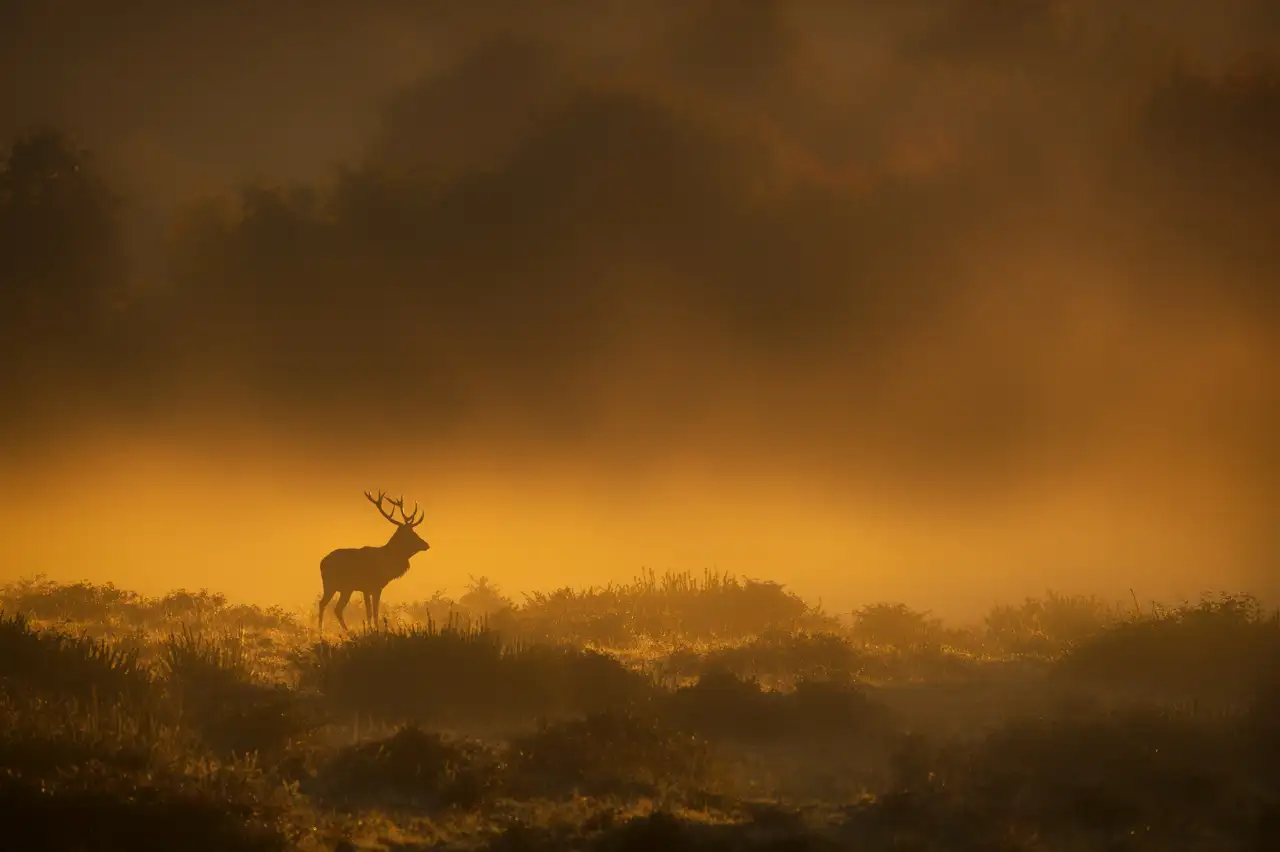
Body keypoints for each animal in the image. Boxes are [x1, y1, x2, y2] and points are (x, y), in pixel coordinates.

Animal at [318, 491, 430, 631]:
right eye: (411, 534)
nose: (426, 544)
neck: (387, 561)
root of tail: (321, 563)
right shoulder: (370, 587)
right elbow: (371, 612)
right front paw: (373, 630)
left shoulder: (374, 587)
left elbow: (374, 611)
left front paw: (374, 628)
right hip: (331, 584)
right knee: (324, 604)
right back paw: (322, 631)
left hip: (345, 588)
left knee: (336, 608)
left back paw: (345, 631)